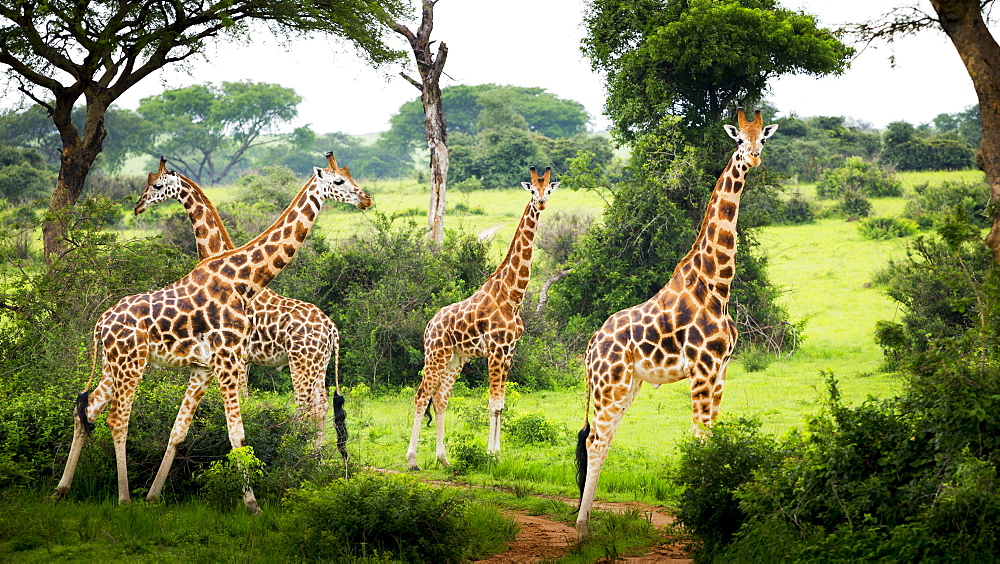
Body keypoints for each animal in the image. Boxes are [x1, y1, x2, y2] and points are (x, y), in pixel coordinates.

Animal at [136, 158, 348, 458]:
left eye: (156, 185)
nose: (138, 206)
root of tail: (331, 329)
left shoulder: (239, 355)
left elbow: (243, 400)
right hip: (321, 363)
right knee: (321, 407)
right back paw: (315, 457)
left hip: (302, 363)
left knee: (305, 407)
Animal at [406, 165, 564, 470]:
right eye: (532, 190)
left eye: (549, 190)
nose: (541, 203)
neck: (512, 296)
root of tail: (429, 325)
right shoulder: (496, 350)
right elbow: (492, 404)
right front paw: (491, 456)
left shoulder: (509, 352)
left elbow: (500, 404)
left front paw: (498, 455)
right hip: (436, 354)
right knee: (421, 396)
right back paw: (412, 461)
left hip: (455, 359)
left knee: (440, 398)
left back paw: (444, 459)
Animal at [576, 110, 776, 536]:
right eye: (739, 140)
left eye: (763, 139)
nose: (752, 158)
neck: (717, 285)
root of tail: (590, 348)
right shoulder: (701, 370)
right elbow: (699, 438)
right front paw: (699, 516)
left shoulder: (720, 371)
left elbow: (712, 437)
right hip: (609, 385)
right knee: (595, 440)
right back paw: (582, 524)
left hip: (628, 385)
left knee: (605, 437)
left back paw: (591, 518)